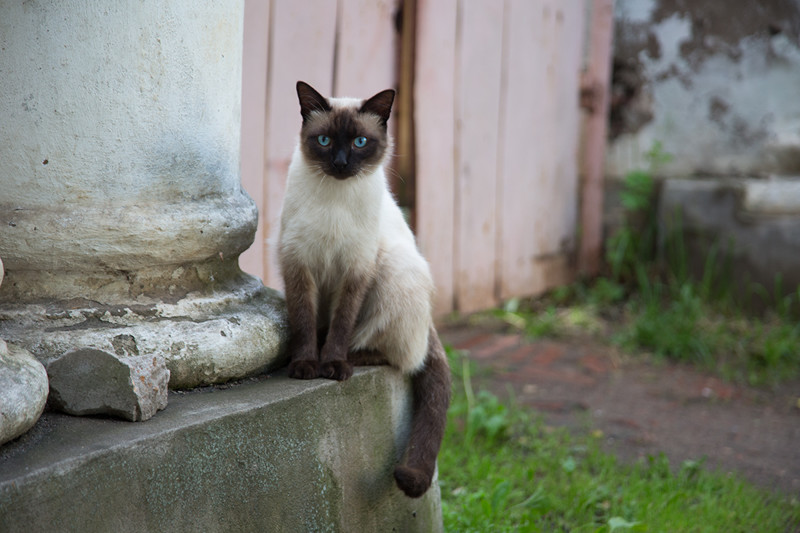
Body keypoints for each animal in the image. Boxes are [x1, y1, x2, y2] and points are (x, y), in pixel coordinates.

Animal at [278, 81, 450, 496]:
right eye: (324, 140)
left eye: (359, 142)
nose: (341, 164)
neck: (335, 199)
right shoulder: (299, 265)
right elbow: (304, 322)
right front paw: (305, 365)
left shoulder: (356, 269)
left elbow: (342, 325)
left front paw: (332, 365)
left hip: (394, 269)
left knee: (401, 356)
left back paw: (352, 359)